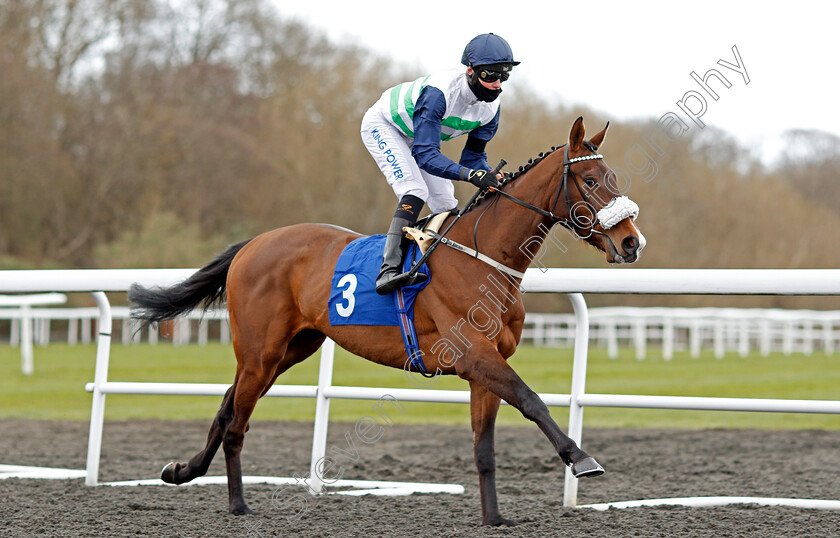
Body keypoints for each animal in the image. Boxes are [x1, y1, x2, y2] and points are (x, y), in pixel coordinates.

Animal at [130, 116, 644, 524]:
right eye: (591, 180)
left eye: (612, 176)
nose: (631, 242)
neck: (482, 259)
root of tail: (253, 243)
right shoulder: (475, 356)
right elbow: (532, 401)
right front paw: (581, 458)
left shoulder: (484, 366)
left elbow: (485, 446)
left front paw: (495, 518)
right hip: (261, 351)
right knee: (237, 420)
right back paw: (238, 505)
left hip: (290, 349)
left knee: (227, 405)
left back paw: (182, 472)